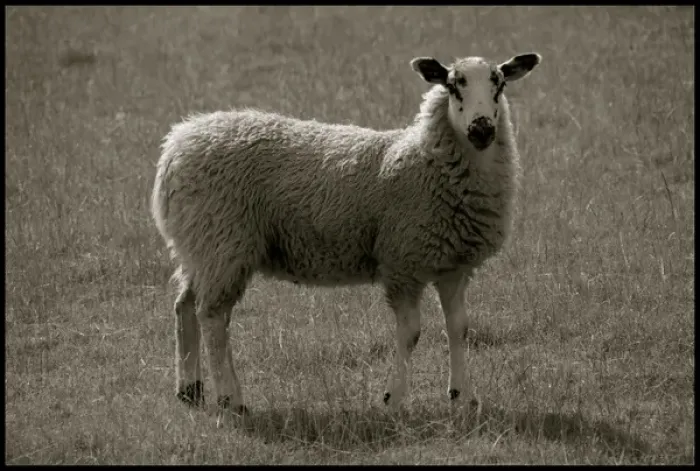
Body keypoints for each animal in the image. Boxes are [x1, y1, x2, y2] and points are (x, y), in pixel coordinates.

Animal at [151, 52, 541, 416]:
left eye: (499, 84)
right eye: (453, 84)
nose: (482, 128)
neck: (425, 161)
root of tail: (176, 145)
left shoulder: (454, 265)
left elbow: (459, 328)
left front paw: (463, 398)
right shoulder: (403, 263)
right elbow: (411, 333)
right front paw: (393, 399)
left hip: (201, 247)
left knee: (185, 306)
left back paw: (190, 389)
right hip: (223, 242)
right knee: (213, 317)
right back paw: (231, 399)